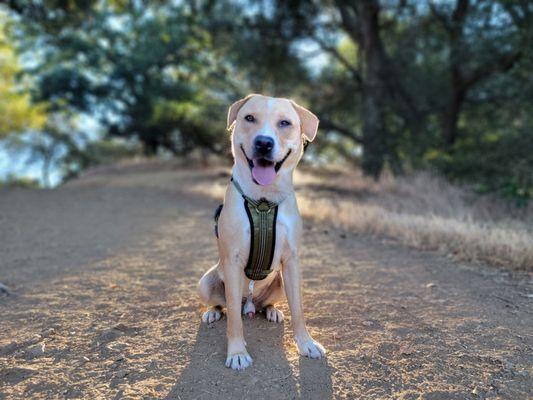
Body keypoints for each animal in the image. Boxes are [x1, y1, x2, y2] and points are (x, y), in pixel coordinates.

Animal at [198, 93, 326, 368]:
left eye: (285, 123)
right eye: (249, 118)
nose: (264, 143)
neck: (264, 200)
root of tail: (250, 304)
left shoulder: (292, 261)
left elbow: (298, 309)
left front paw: (306, 343)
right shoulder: (233, 262)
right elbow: (234, 320)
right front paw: (237, 353)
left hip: (279, 281)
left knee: (265, 303)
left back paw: (271, 310)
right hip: (205, 282)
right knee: (226, 307)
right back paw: (213, 313)